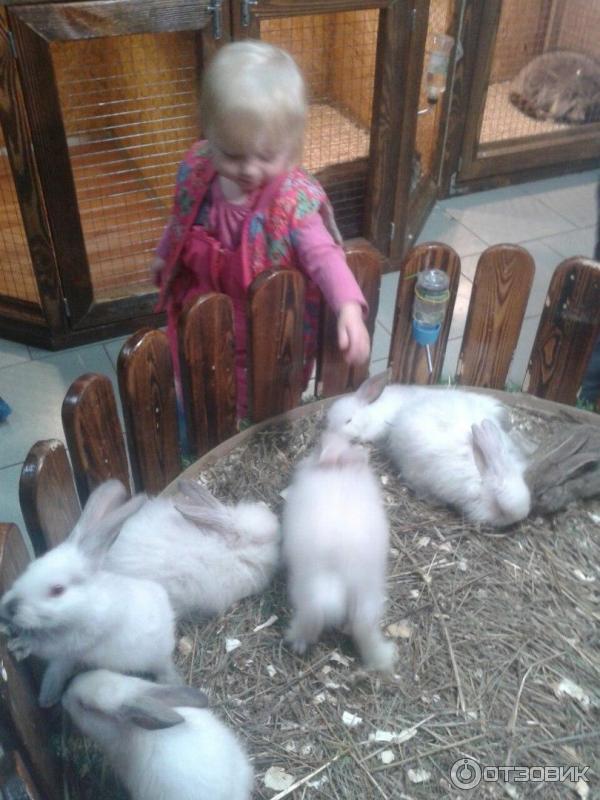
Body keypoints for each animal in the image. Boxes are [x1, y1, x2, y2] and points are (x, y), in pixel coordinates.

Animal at [0, 480, 179, 707]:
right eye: (30, 567)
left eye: (57, 590)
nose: (9, 608)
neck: (87, 604)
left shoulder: (72, 642)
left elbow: (45, 645)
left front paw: (20, 645)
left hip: (155, 658)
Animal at [282, 430, 396, 671]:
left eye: (317, 447)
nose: (327, 435)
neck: (339, 469)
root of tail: (341, 572)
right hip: (368, 596)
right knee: (364, 626)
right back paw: (382, 657)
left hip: (306, 588)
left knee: (311, 615)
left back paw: (295, 640)